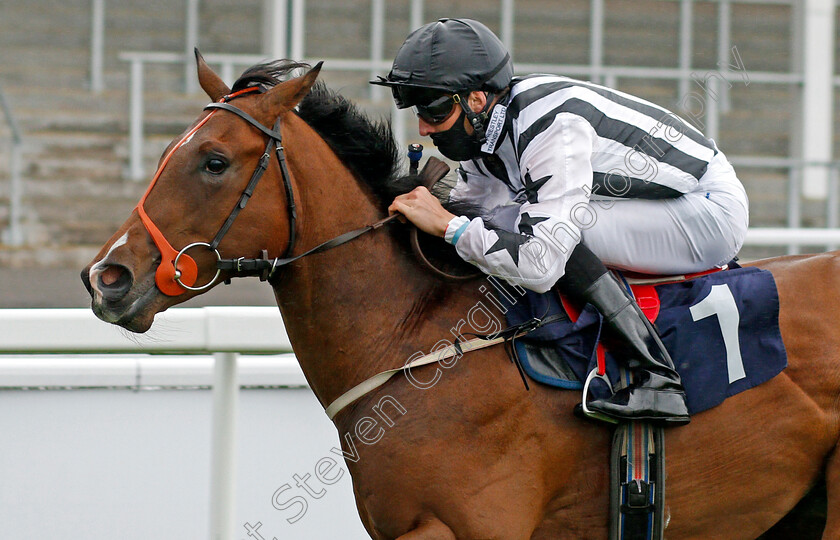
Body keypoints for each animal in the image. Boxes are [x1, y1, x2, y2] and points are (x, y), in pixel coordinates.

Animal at [80, 56, 840, 540]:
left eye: (213, 162)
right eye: (165, 154)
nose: (107, 278)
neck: (417, 338)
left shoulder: (467, 526)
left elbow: (549, 242)